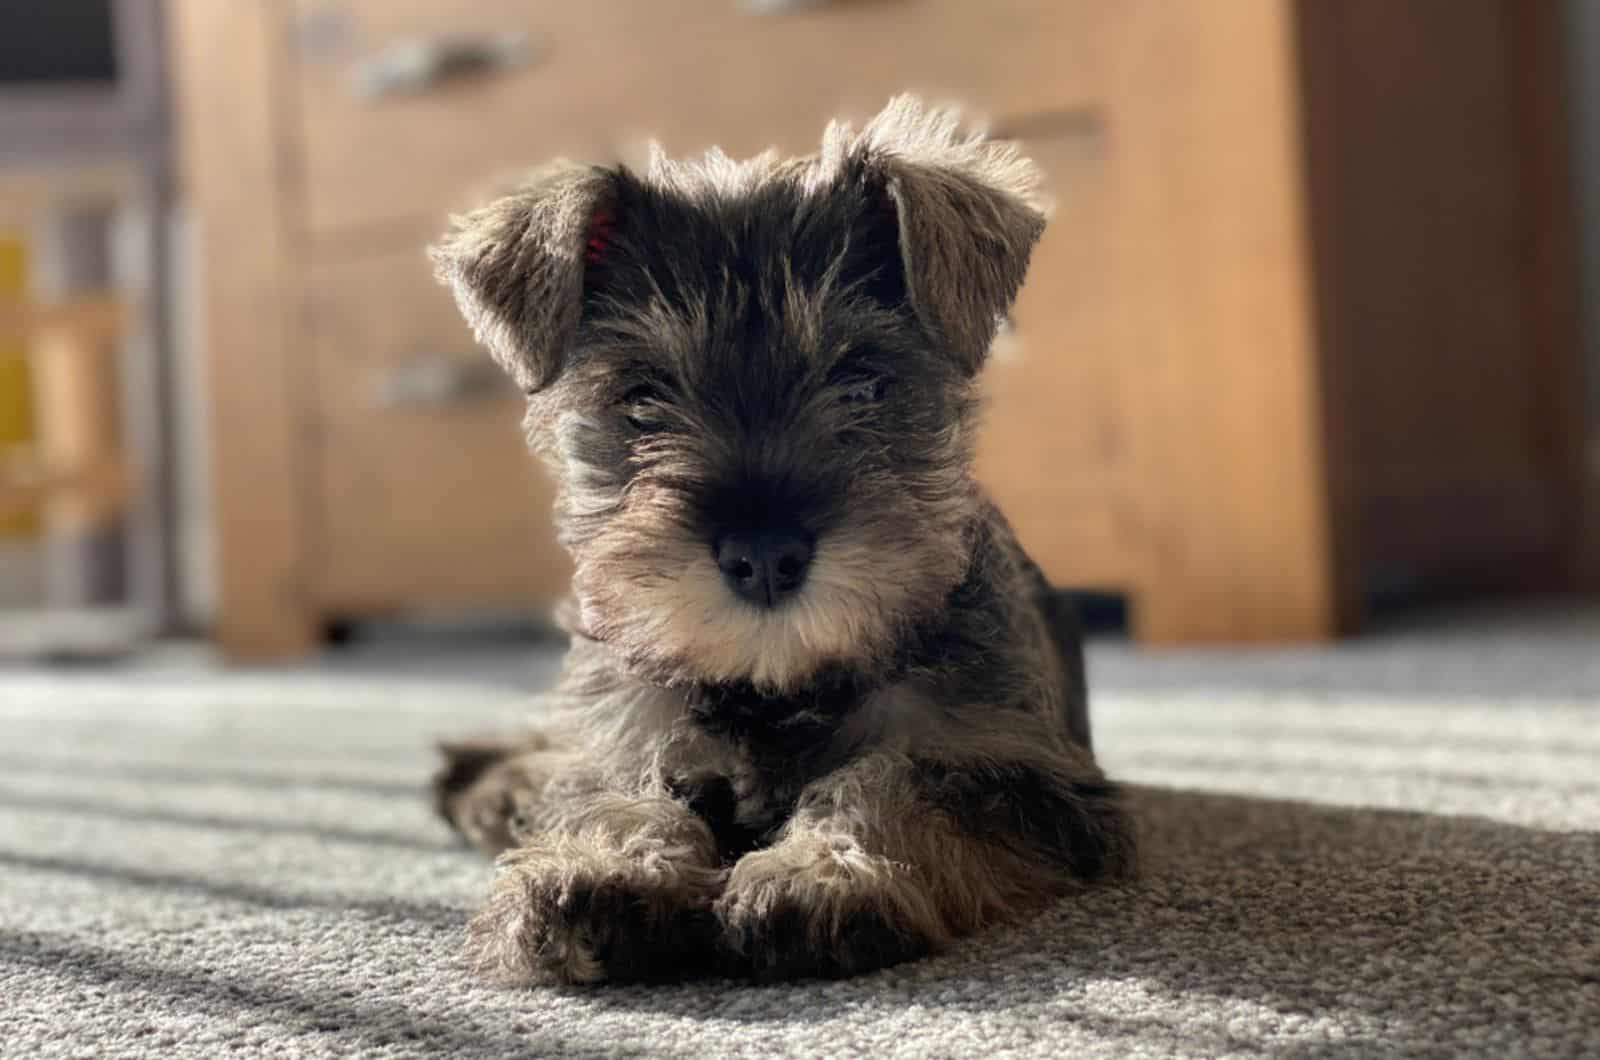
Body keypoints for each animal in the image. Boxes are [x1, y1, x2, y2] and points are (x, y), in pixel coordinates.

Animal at [432, 95, 1132, 986]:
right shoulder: (627, 717)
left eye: (864, 381)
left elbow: (894, 782)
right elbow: (614, 784)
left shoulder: (1019, 774)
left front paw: (823, 873)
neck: (779, 686)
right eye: (643, 398)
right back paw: (497, 789)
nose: (764, 556)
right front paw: (600, 871)